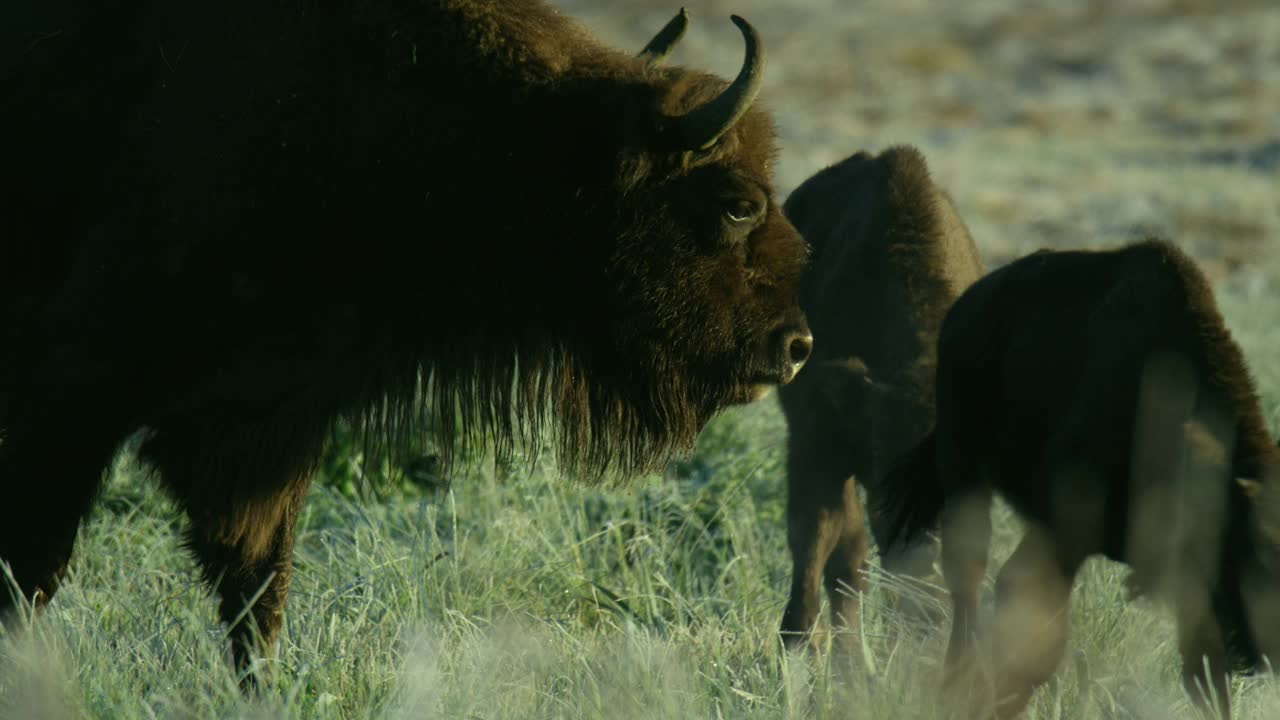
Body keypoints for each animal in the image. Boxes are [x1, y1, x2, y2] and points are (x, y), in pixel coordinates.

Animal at [2, 4, 808, 676]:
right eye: (737, 204)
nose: (795, 345)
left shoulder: (265, 428)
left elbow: (258, 585)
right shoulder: (68, 402)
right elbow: (34, 568)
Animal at [880, 238, 1280, 712]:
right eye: (1258, 553)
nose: (1265, 650)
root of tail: (966, 309)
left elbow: (1203, 675)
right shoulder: (1064, 531)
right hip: (963, 467)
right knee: (967, 578)